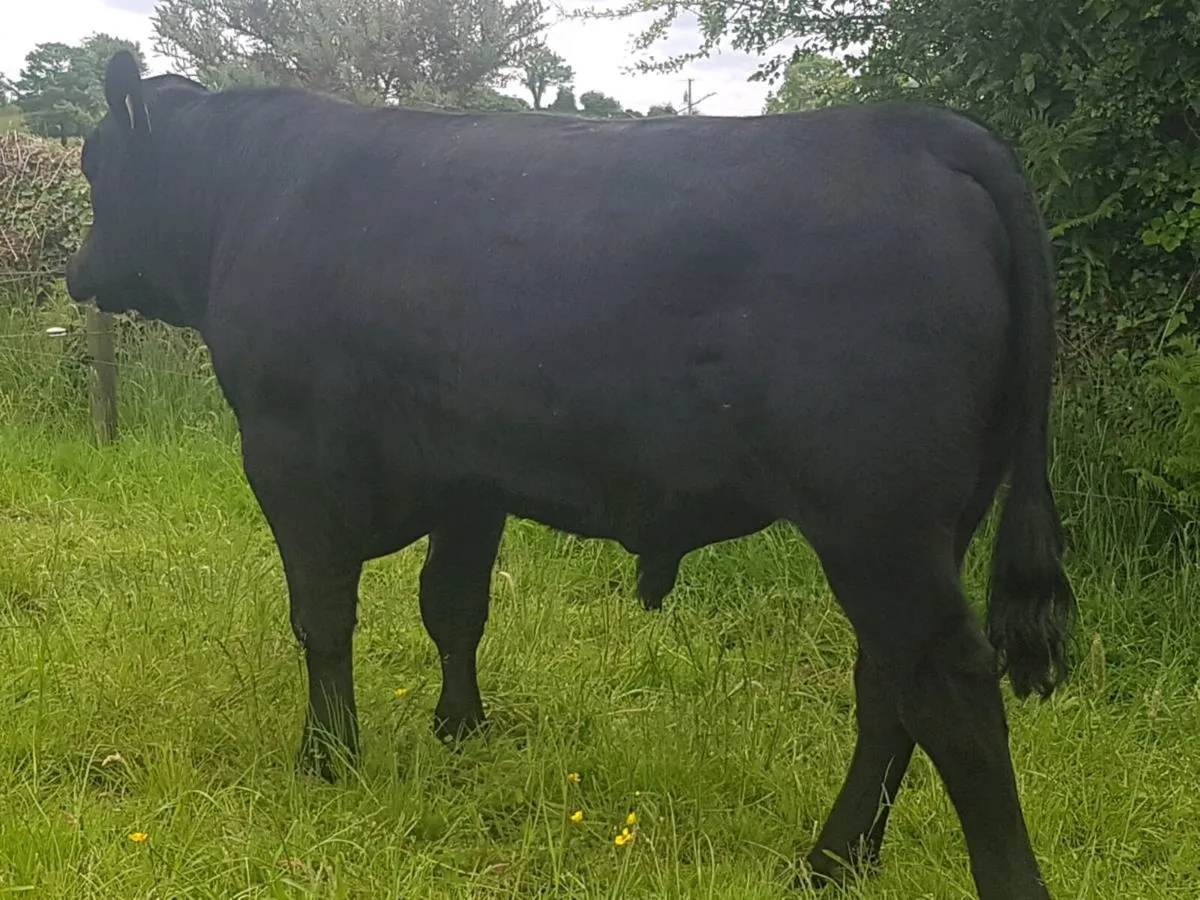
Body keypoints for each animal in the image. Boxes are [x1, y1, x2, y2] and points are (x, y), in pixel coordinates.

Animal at [65, 50, 1076, 900]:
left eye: (93, 164)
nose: (78, 273)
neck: (252, 192)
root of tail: (926, 131)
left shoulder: (290, 458)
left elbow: (323, 619)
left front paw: (329, 758)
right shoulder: (468, 477)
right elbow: (454, 606)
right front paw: (461, 730)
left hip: (878, 527)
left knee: (948, 689)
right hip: (925, 530)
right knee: (887, 685)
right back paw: (833, 861)